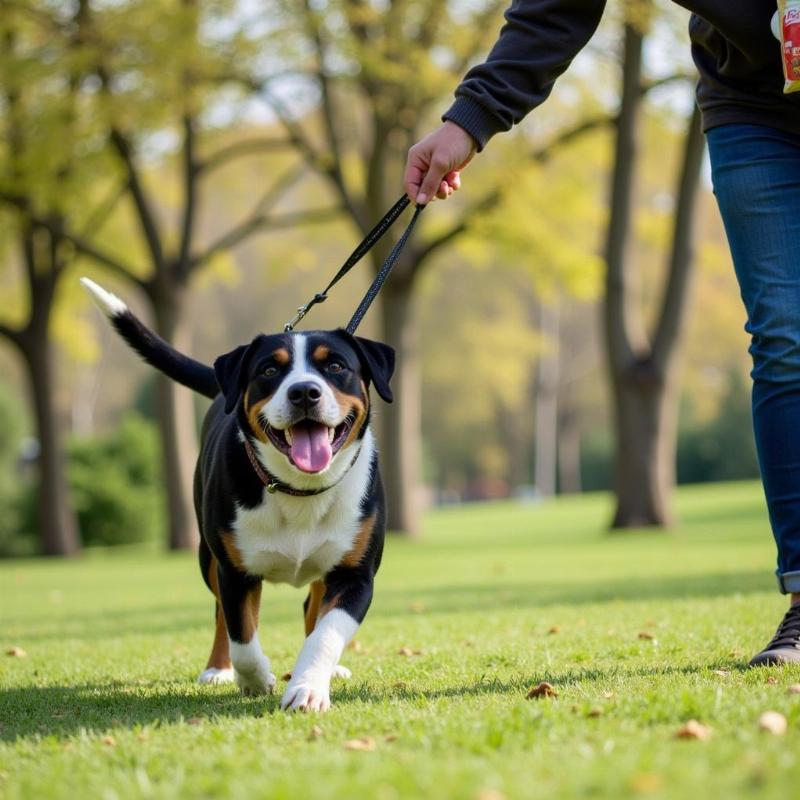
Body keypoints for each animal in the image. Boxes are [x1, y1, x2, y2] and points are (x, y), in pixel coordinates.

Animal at [80, 276, 394, 712]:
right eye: (269, 369)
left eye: (335, 366)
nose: (304, 392)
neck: (299, 492)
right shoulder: (234, 570)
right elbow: (242, 635)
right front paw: (256, 678)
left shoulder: (356, 574)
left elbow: (326, 633)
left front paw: (309, 686)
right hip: (207, 556)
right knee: (221, 618)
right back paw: (218, 669)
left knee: (312, 607)